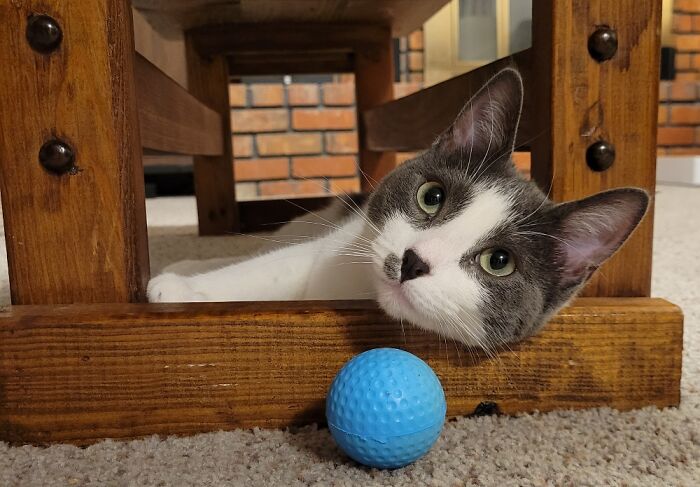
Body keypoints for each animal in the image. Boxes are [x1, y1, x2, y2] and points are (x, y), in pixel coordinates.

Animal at [149, 68, 652, 350]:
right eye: (431, 197)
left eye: (499, 262)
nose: (413, 261)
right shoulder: (333, 246)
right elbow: (270, 268)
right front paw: (179, 290)